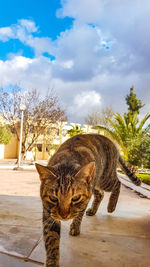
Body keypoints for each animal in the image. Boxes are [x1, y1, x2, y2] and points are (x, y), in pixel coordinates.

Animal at [35, 134, 141, 267]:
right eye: (53, 198)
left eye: (75, 198)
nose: (64, 216)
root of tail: (110, 141)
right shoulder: (48, 213)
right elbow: (51, 240)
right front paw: (52, 262)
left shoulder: (83, 201)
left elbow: (79, 215)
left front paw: (75, 227)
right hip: (95, 184)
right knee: (100, 194)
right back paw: (93, 210)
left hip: (104, 179)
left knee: (118, 182)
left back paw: (111, 206)